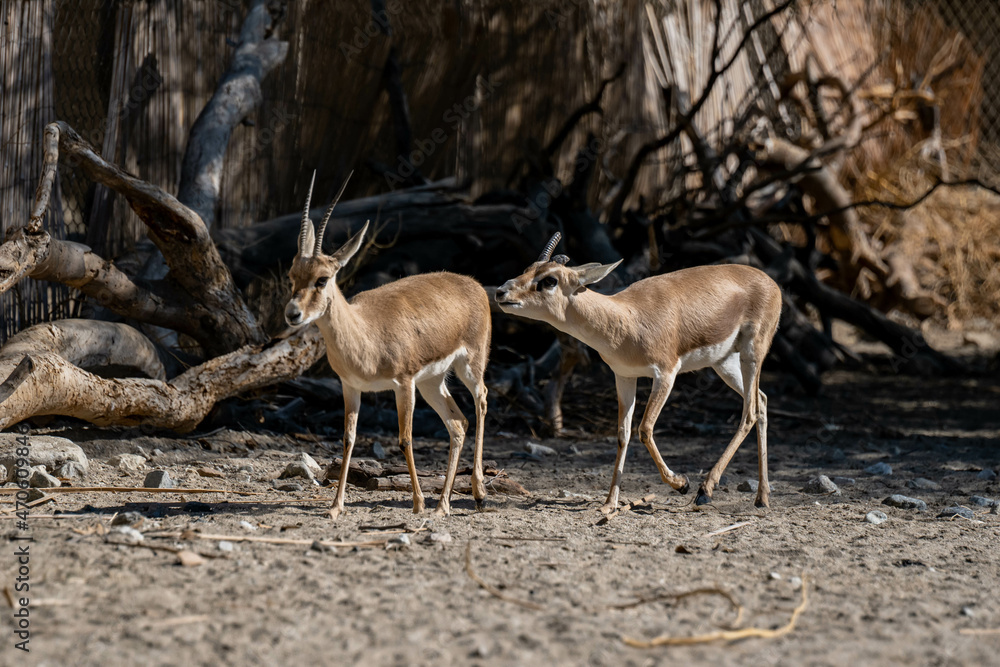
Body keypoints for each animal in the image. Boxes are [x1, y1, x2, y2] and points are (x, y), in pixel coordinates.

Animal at [284, 173, 491, 519]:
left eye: (322, 279)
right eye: (292, 276)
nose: (292, 314)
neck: (366, 333)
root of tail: (474, 284)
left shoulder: (403, 384)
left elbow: (405, 439)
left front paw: (418, 502)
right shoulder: (350, 386)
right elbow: (348, 439)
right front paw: (335, 507)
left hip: (469, 366)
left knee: (482, 401)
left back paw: (477, 495)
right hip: (432, 382)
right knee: (458, 424)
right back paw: (443, 505)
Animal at [495, 233, 782, 511]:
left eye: (549, 280)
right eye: (527, 269)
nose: (501, 291)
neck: (626, 319)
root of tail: (772, 283)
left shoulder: (666, 374)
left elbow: (645, 428)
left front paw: (682, 484)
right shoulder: (624, 376)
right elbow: (623, 434)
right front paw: (609, 504)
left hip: (751, 354)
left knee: (750, 411)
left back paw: (705, 491)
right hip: (724, 363)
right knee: (762, 401)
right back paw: (762, 497)